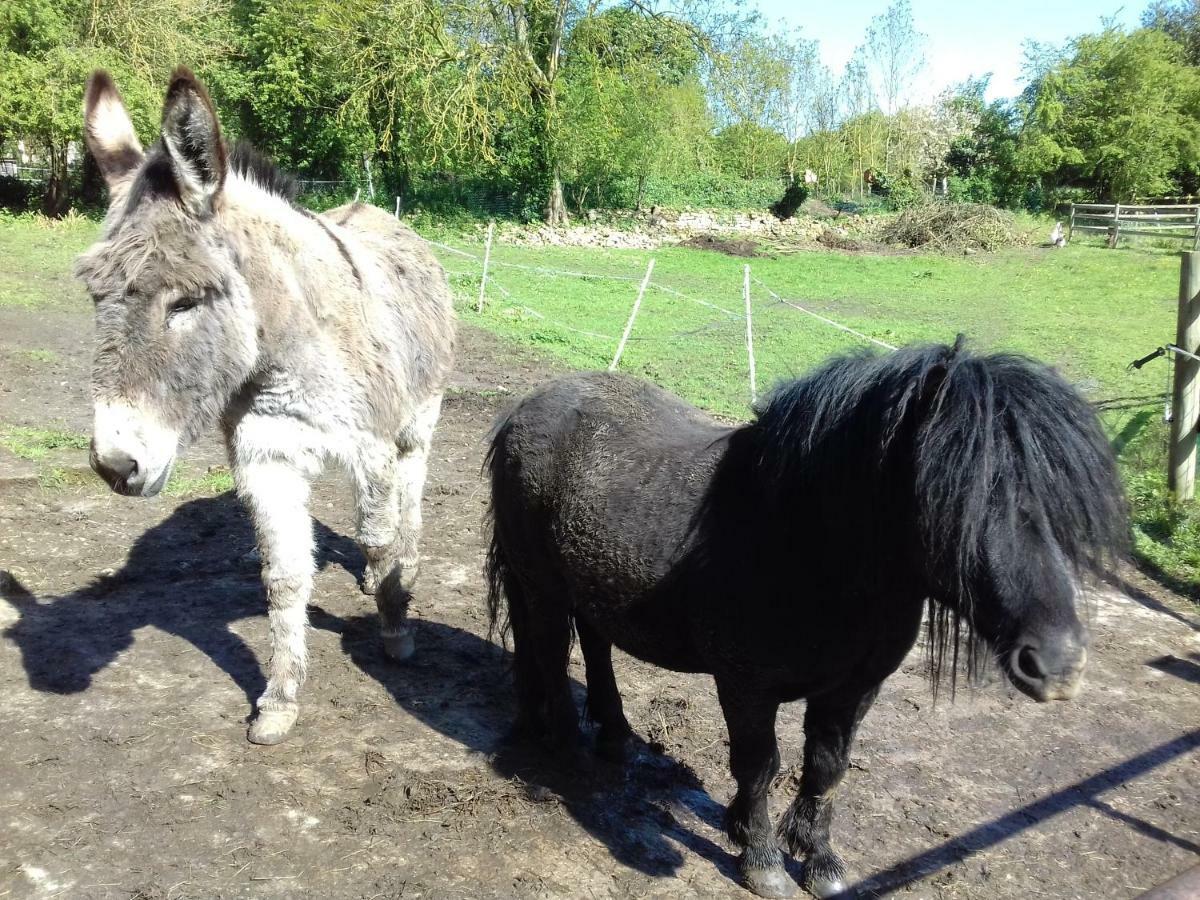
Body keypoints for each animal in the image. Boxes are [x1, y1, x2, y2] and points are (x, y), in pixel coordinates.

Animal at [484, 340, 1123, 897]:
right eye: (959, 494)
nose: (1059, 664)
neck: (804, 545)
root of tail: (524, 409)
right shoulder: (745, 687)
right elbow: (759, 765)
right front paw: (762, 860)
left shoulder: (854, 689)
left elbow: (825, 767)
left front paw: (818, 861)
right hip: (541, 587)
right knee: (549, 651)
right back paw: (568, 752)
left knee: (594, 645)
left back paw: (615, 736)